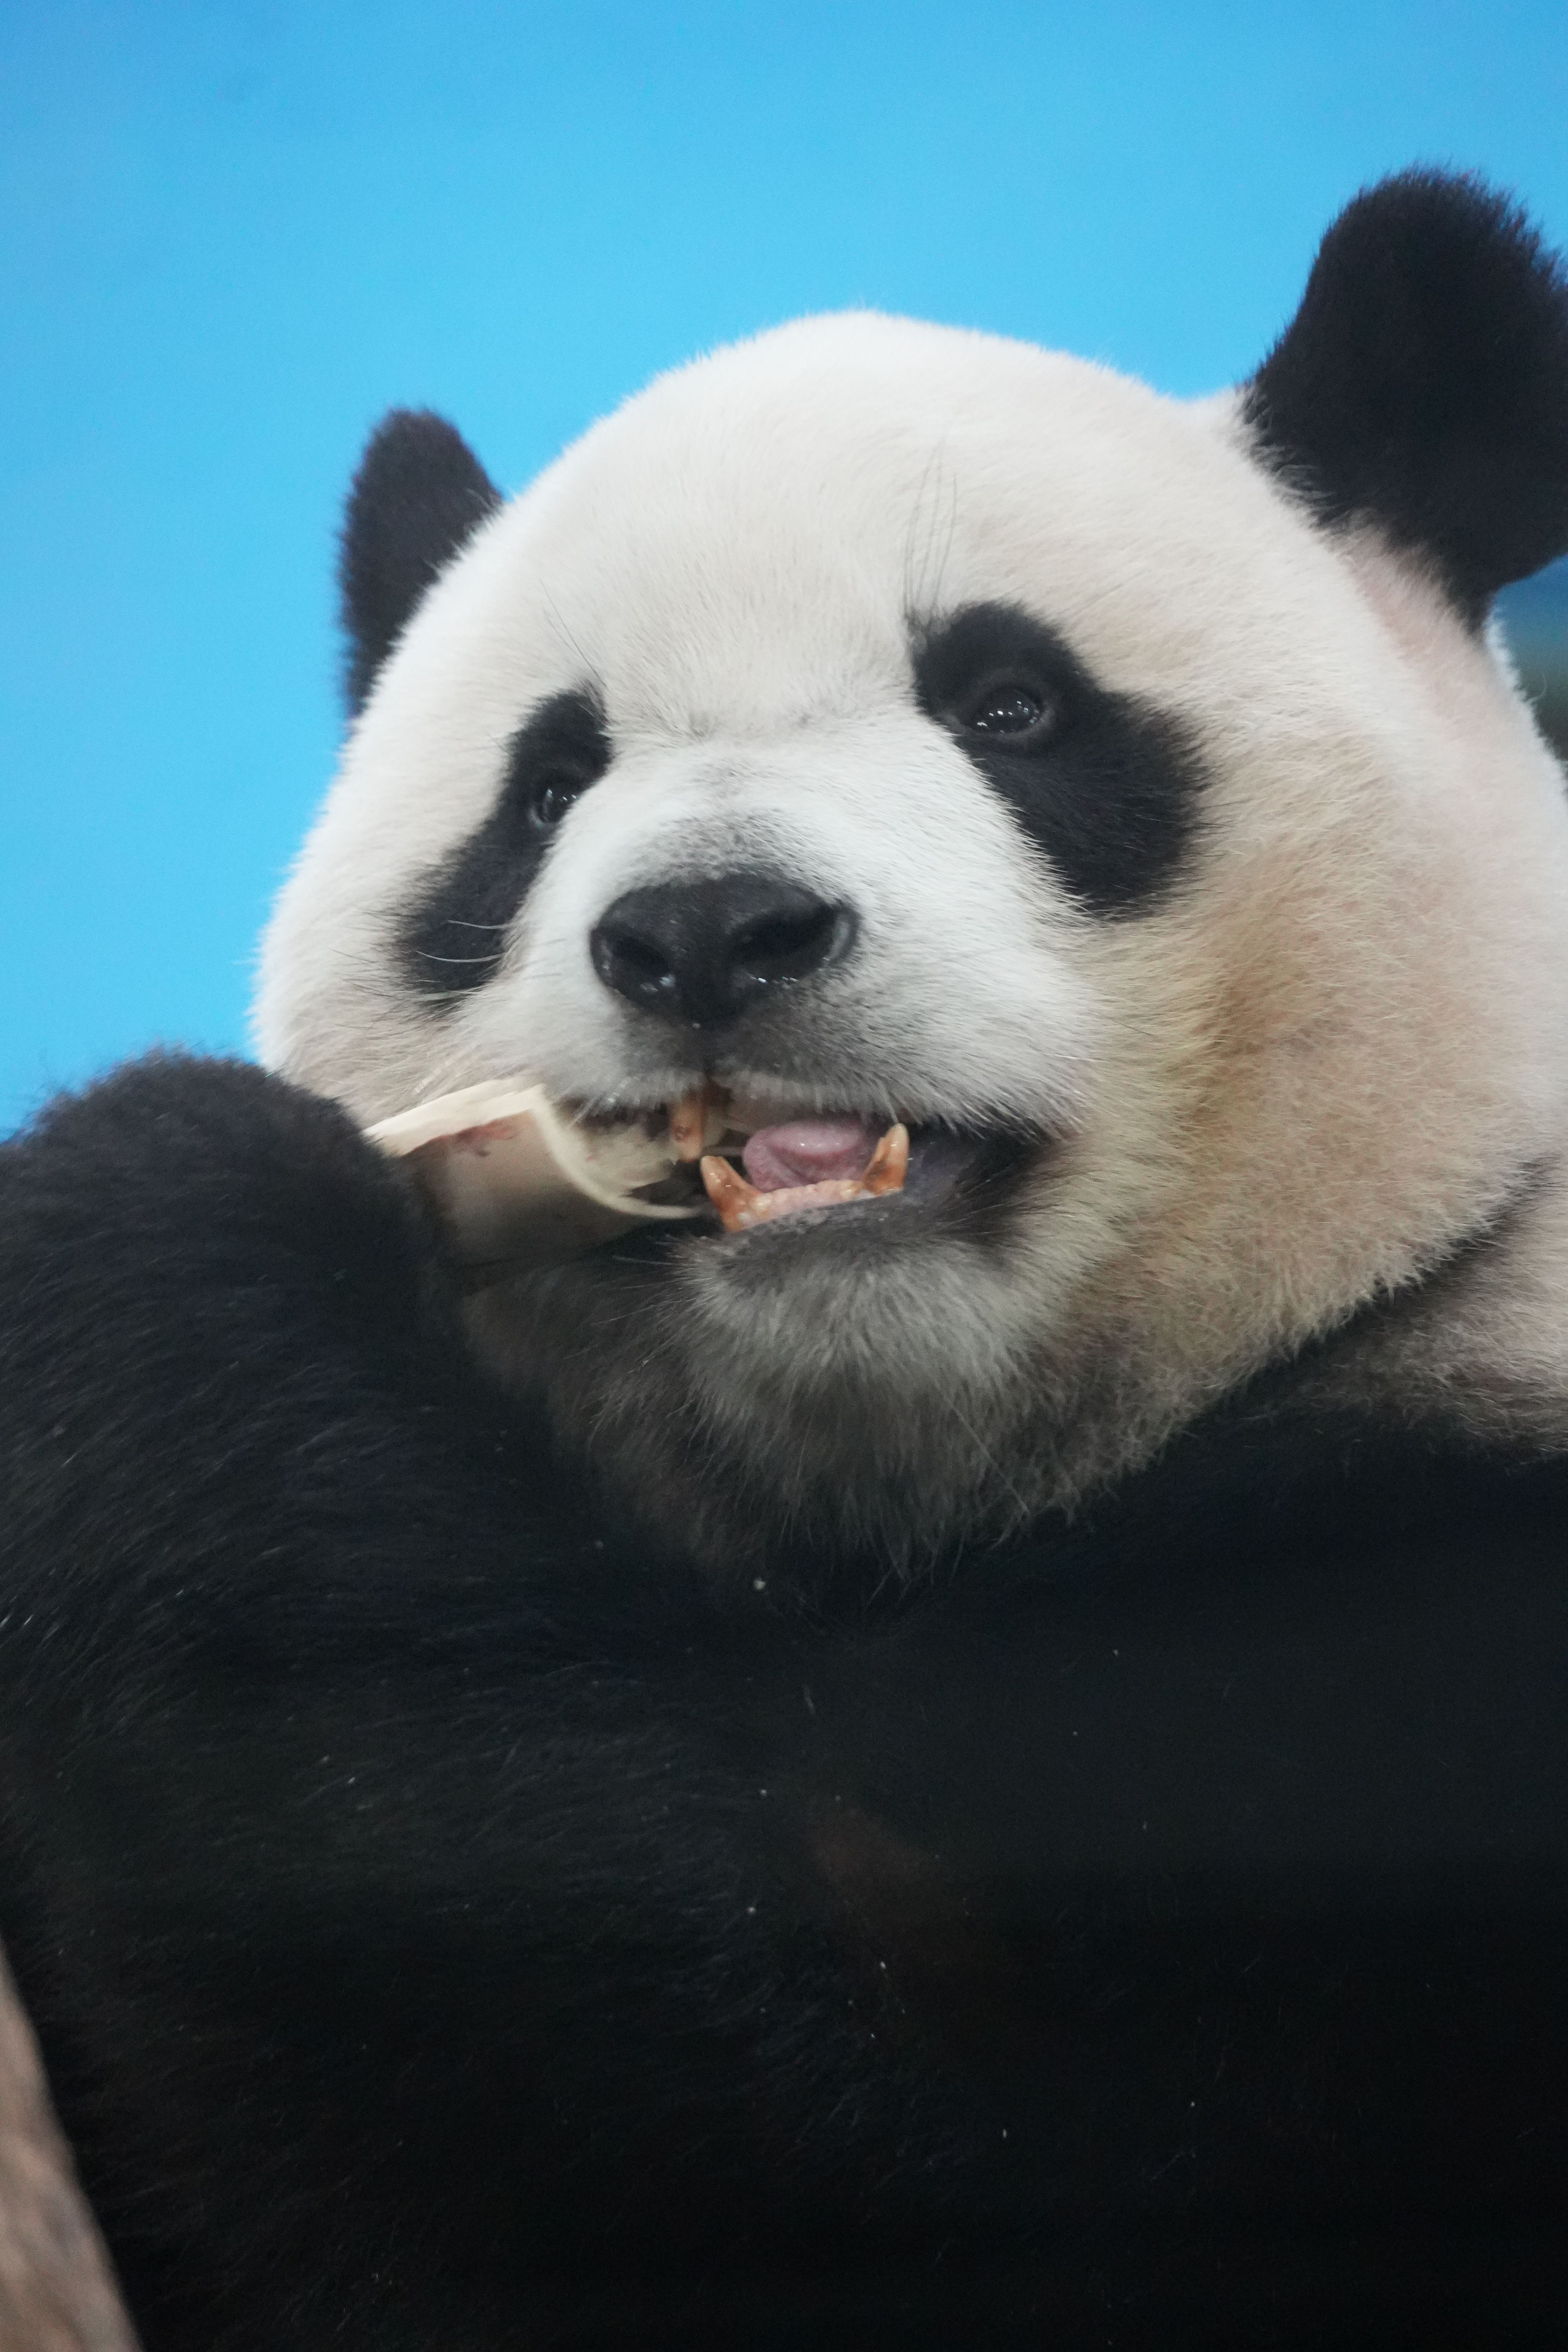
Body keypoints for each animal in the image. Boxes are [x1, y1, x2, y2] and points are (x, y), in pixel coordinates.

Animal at [4, 167, 1568, 2349]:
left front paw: (154, 1223)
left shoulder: (1453, 1629)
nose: (708, 932)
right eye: (548, 784)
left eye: (1010, 704)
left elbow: (855, 2182)